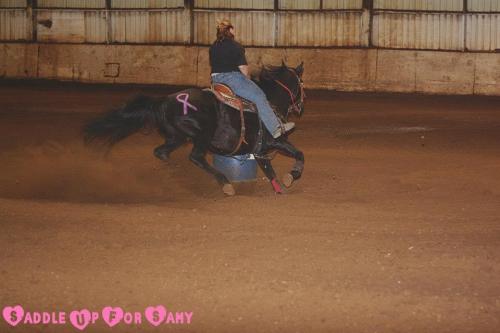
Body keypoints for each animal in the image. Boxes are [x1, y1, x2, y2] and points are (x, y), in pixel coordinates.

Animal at [84, 61, 304, 195]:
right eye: (301, 83)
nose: (301, 106)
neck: (271, 100)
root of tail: (165, 100)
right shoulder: (274, 141)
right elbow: (299, 155)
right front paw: (291, 177)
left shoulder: (259, 152)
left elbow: (271, 172)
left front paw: (280, 188)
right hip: (202, 135)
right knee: (196, 157)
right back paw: (225, 183)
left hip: (177, 137)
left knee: (161, 152)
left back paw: (174, 173)